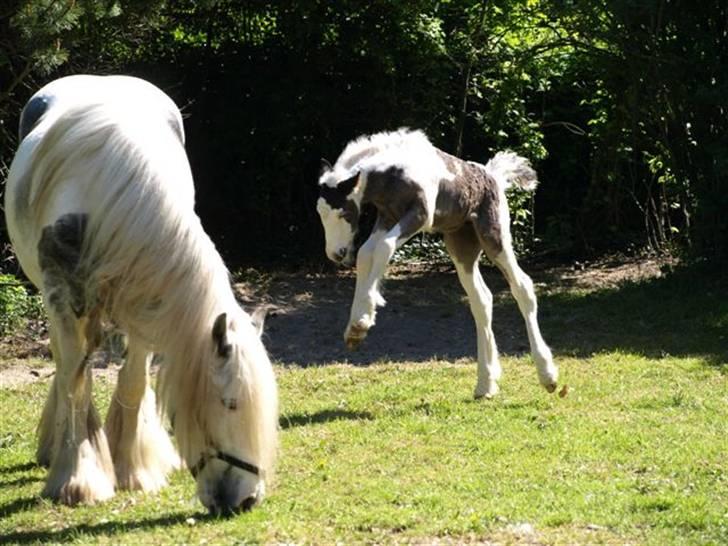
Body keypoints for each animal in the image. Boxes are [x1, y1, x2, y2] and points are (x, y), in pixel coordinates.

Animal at [4, 74, 278, 512]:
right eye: (230, 402)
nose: (245, 500)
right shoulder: (61, 299)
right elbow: (74, 381)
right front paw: (78, 479)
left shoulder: (149, 298)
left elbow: (132, 381)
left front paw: (131, 469)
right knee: (65, 365)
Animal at [316, 130, 560, 398]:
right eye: (320, 214)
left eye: (343, 213)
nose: (336, 254)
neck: (397, 171)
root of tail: (493, 176)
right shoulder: (387, 217)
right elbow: (365, 253)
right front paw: (356, 328)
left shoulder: (420, 215)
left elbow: (384, 248)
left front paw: (363, 319)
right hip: (461, 247)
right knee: (482, 300)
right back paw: (485, 384)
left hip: (494, 237)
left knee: (522, 287)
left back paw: (547, 375)